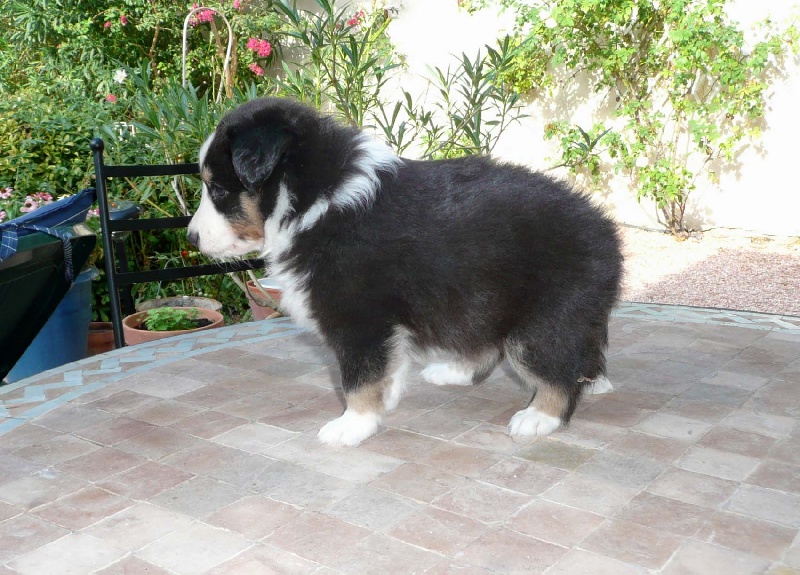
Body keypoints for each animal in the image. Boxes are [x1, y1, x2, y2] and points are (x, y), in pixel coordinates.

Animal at [187, 97, 623, 447]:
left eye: (218, 190)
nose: (190, 238)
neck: (316, 201)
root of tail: (607, 233)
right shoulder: (381, 321)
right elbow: (386, 366)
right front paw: (387, 398)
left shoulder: (357, 316)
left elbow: (358, 377)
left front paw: (352, 425)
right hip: (487, 300)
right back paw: (456, 371)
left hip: (544, 318)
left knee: (558, 372)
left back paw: (538, 418)